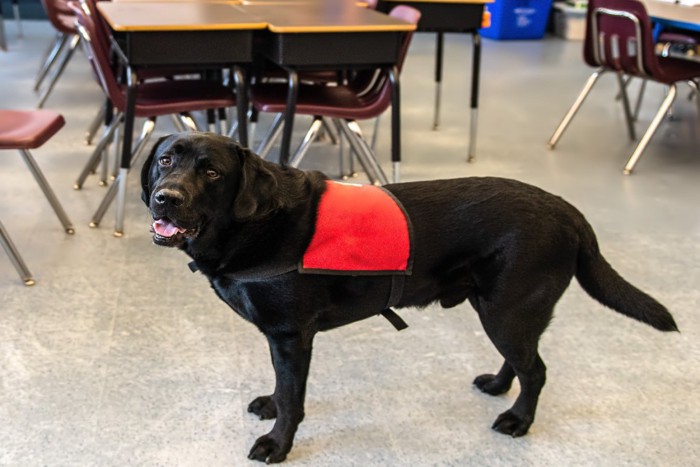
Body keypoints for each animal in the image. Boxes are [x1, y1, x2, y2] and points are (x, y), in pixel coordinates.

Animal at [141, 132, 680, 464]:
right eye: (166, 160)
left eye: (212, 173)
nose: (165, 197)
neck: (254, 222)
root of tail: (569, 210)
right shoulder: (283, 340)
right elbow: (283, 387)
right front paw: (271, 405)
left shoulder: (291, 336)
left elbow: (295, 397)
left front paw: (278, 443)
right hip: (499, 309)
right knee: (523, 361)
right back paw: (497, 386)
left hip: (509, 310)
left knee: (537, 370)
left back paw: (518, 420)